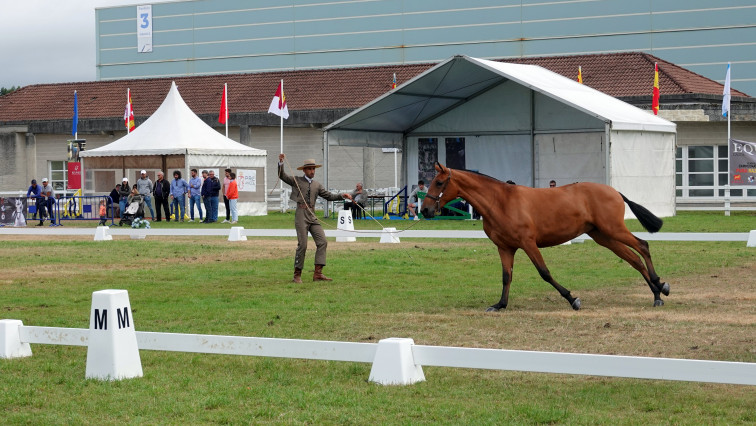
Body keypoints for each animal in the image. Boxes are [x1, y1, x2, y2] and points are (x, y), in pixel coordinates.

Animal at [422, 161, 672, 312]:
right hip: (604, 237)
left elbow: (544, 273)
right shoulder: (505, 248)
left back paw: (660, 287)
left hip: (614, 230)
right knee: (634, 259)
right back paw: (656, 292)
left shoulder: (528, 243)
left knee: (642, 246)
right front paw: (500, 304)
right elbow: (506, 277)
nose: (425, 210)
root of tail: (614, 191)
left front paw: (573, 299)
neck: (500, 202)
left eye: (439, 182)